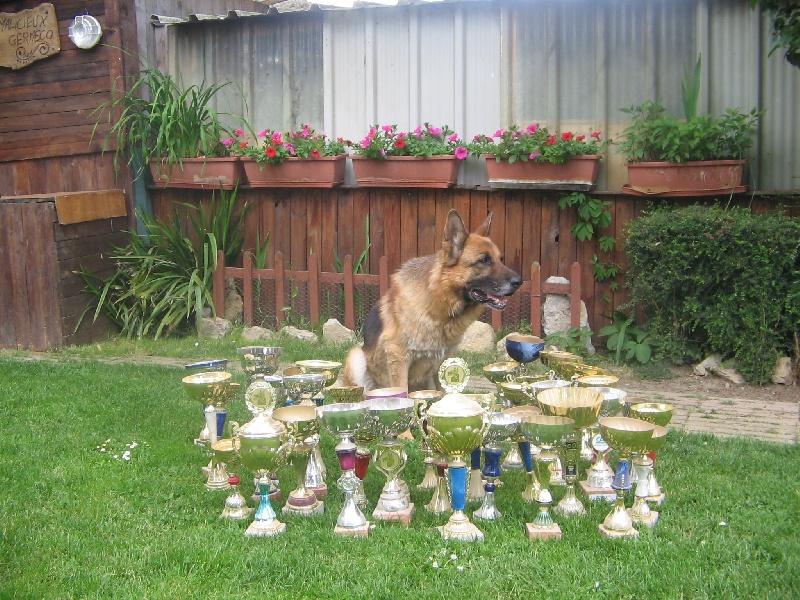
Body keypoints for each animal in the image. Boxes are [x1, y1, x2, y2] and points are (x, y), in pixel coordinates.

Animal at [343, 209, 522, 392]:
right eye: (484, 260)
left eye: (500, 259)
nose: (519, 282)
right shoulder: (398, 357)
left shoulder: (445, 360)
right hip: (356, 357)